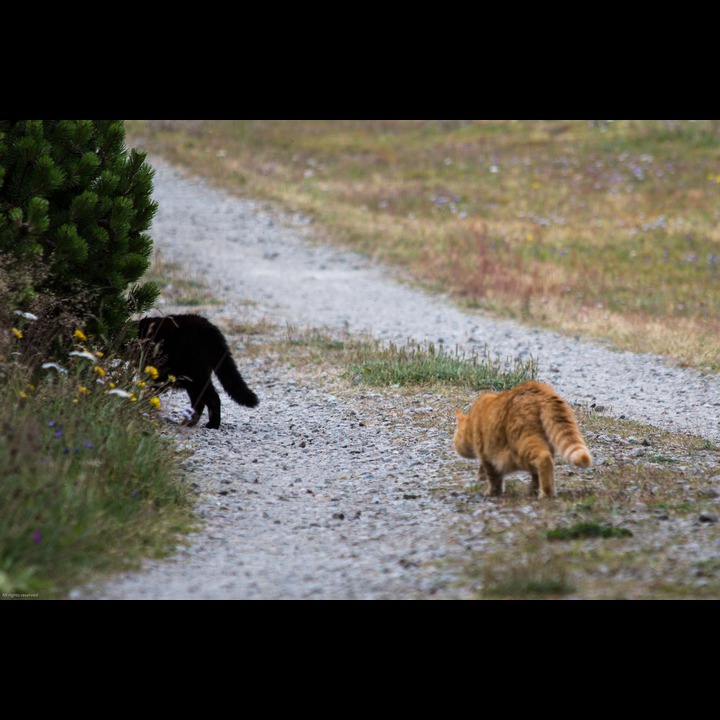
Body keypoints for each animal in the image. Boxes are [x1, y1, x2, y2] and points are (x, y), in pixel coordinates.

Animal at [456, 380, 592, 498]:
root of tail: (538, 388)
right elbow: (534, 476)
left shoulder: (486, 455)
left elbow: (494, 477)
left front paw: (492, 491)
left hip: (522, 443)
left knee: (543, 459)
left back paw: (546, 493)